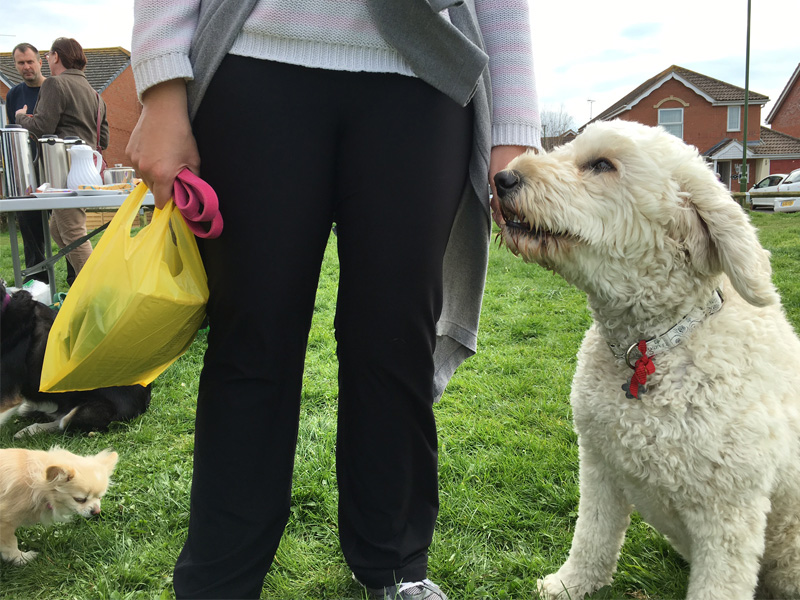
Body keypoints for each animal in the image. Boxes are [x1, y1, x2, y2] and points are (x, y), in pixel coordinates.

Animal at [494, 118, 800, 600]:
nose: (502, 178)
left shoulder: (729, 512)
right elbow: (592, 536)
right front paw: (570, 584)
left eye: (602, 165)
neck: (650, 347)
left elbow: (718, 584)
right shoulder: (599, 465)